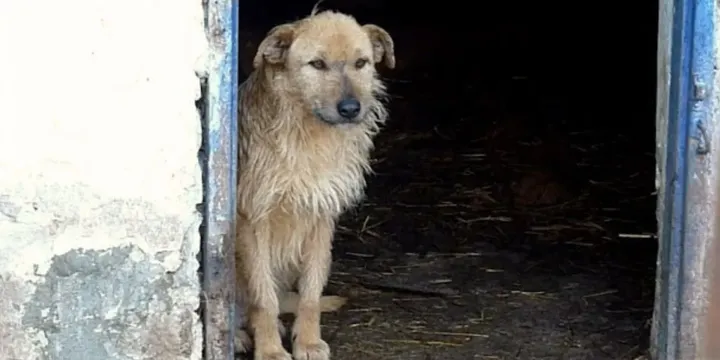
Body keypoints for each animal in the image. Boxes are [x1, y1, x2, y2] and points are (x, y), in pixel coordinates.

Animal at [235, 8, 394, 360]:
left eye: (361, 62)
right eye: (317, 64)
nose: (350, 109)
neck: (309, 134)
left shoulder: (321, 218)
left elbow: (311, 293)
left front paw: (307, 342)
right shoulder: (253, 221)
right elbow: (262, 297)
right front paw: (270, 350)